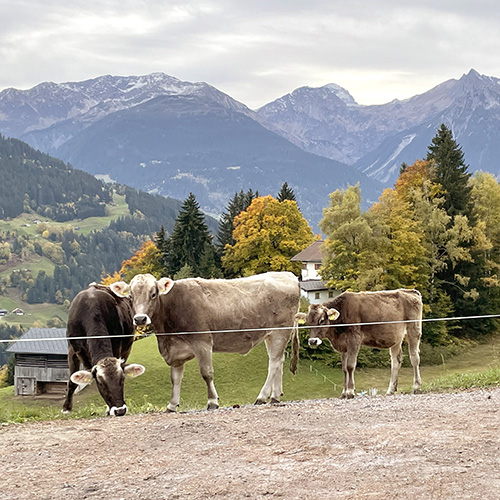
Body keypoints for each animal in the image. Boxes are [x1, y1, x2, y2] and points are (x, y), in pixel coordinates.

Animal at [61, 284, 146, 416]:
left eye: (122, 379)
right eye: (100, 383)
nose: (120, 410)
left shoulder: (117, 345)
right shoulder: (73, 350)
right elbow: (72, 381)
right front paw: (66, 408)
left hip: (127, 347)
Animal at [111, 272, 298, 412]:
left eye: (153, 294)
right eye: (130, 296)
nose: (140, 319)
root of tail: (288, 275)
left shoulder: (202, 342)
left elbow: (206, 373)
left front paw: (212, 401)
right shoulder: (175, 353)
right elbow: (175, 379)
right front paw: (172, 405)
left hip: (281, 330)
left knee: (273, 363)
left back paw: (262, 397)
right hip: (270, 335)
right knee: (279, 361)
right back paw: (275, 397)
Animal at [294, 290, 424, 398]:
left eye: (321, 320)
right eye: (308, 322)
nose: (312, 341)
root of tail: (410, 291)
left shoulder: (354, 340)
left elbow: (350, 366)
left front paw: (350, 392)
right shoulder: (343, 346)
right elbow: (344, 369)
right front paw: (344, 392)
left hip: (414, 329)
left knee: (414, 358)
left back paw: (416, 387)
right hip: (396, 338)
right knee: (395, 361)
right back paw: (390, 390)